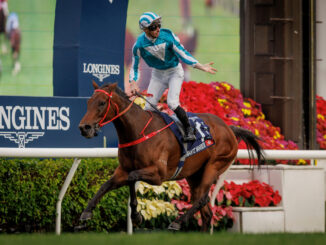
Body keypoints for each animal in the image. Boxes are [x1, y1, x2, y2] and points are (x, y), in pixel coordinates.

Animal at [79, 82, 264, 232]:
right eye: (88, 102)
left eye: (102, 103)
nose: (84, 128)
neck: (138, 131)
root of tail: (229, 128)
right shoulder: (122, 170)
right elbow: (106, 185)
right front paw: (86, 214)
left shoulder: (158, 175)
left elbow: (132, 177)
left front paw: (136, 216)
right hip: (194, 175)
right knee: (206, 212)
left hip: (215, 165)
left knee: (202, 199)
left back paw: (178, 222)